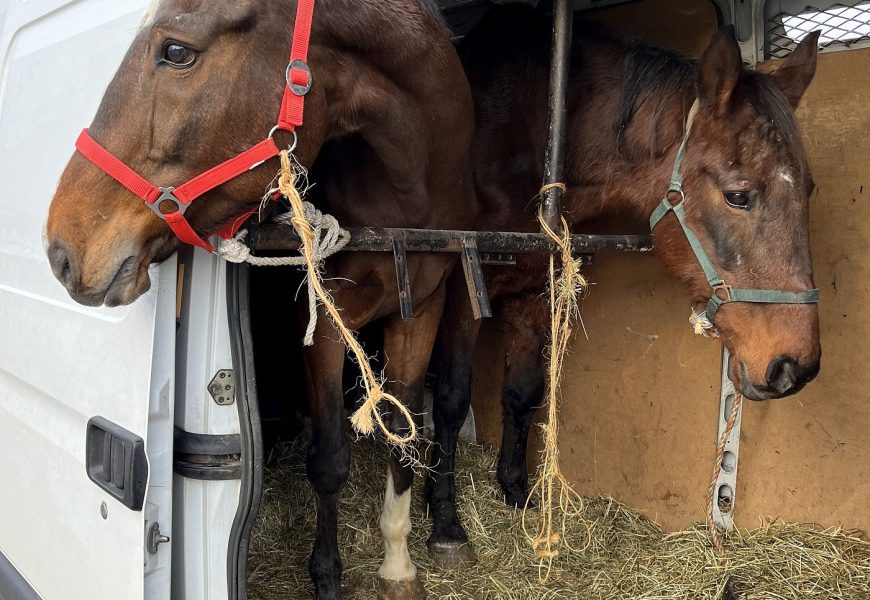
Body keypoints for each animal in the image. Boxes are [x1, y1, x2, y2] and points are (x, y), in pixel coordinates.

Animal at [43, 1, 474, 600]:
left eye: (176, 51)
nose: (62, 249)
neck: (404, 197)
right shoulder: (323, 324)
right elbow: (330, 458)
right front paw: (328, 578)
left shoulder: (421, 314)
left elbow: (403, 436)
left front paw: (396, 564)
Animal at [430, 5, 824, 564]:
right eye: (739, 195)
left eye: (809, 190)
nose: (795, 368)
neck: (524, 130)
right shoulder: (462, 293)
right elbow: (449, 398)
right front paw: (445, 521)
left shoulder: (535, 293)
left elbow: (522, 394)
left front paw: (517, 493)